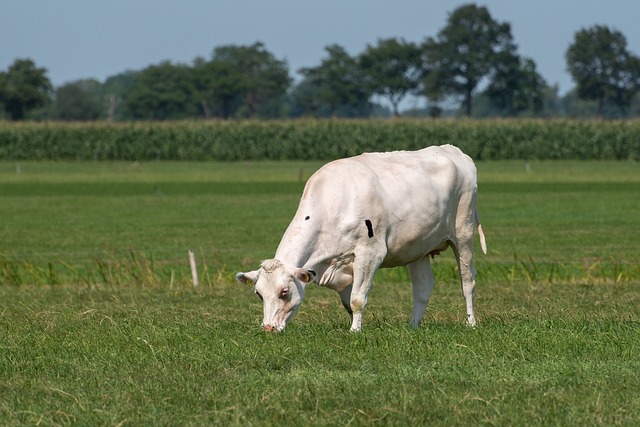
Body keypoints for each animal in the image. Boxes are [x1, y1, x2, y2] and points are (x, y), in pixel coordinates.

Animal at [238, 145, 488, 332]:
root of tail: (452, 151)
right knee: (423, 287)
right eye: (259, 294)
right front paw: (355, 325)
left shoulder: (370, 253)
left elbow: (357, 299)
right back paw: (413, 325)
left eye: (284, 292)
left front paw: (355, 331)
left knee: (468, 282)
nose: (268, 328)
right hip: (418, 248)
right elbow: (348, 302)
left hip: (463, 233)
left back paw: (471, 322)